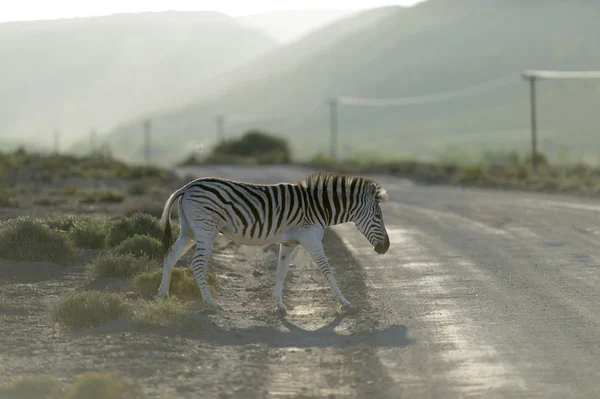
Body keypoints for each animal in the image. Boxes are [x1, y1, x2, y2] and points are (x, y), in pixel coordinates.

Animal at [156, 172, 390, 316]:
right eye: (378, 216)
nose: (386, 247)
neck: (318, 207)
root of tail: (187, 186)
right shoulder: (311, 238)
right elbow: (327, 269)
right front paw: (345, 303)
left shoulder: (289, 243)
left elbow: (281, 271)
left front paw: (279, 305)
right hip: (206, 230)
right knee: (197, 264)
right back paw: (211, 303)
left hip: (189, 231)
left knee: (170, 256)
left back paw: (162, 295)